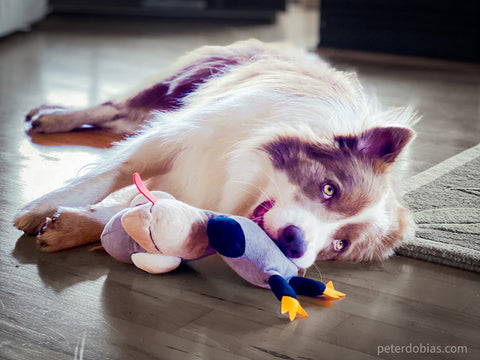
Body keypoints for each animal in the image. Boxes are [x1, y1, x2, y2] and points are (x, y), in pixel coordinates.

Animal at [12, 39, 416, 270]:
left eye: (339, 244)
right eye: (329, 189)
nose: (295, 243)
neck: (244, 179)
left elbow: (132, 211)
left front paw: (68, 228)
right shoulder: (173, 137)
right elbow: (103, 177)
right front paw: (38, 209)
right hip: (180, 82)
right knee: (113, 107)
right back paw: (51, 115)